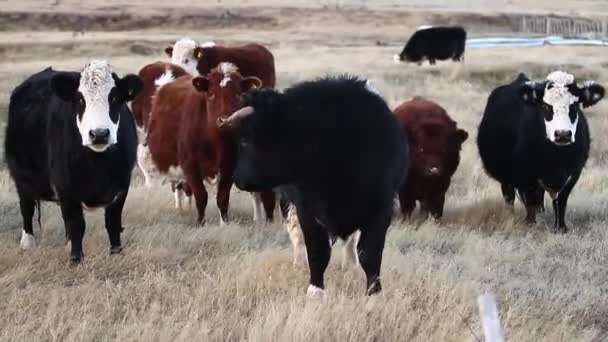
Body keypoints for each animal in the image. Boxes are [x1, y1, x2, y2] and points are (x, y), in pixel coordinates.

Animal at [4, 60, 142, 264]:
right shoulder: (65, 186)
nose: (99, 134)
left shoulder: (122, 184)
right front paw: (76, 260)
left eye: (115, 98)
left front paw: (117, 253)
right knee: (26, 207)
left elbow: (113, 222)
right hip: (21, 176)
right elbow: (77, 224)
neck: (98, 165)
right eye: (80, 100)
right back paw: (28, 243)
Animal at [216, 76, 406, 298]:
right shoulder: (306, 209)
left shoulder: (381, 209)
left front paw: (374, 294)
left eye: (245, 140)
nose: (237, 178)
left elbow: (369, 253)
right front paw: (316, 291)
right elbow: (317, 250)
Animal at [480, 71, 604, 234]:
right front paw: (530, 224)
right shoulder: (527, 175)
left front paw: (561, 228)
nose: (562, 134)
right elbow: (531, 200)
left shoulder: (573, 173)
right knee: (510, 198)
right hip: (505, 176)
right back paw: (511, 217)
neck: (557, 159)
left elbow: (561, 201)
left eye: (575, 105)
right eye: (546, 106)